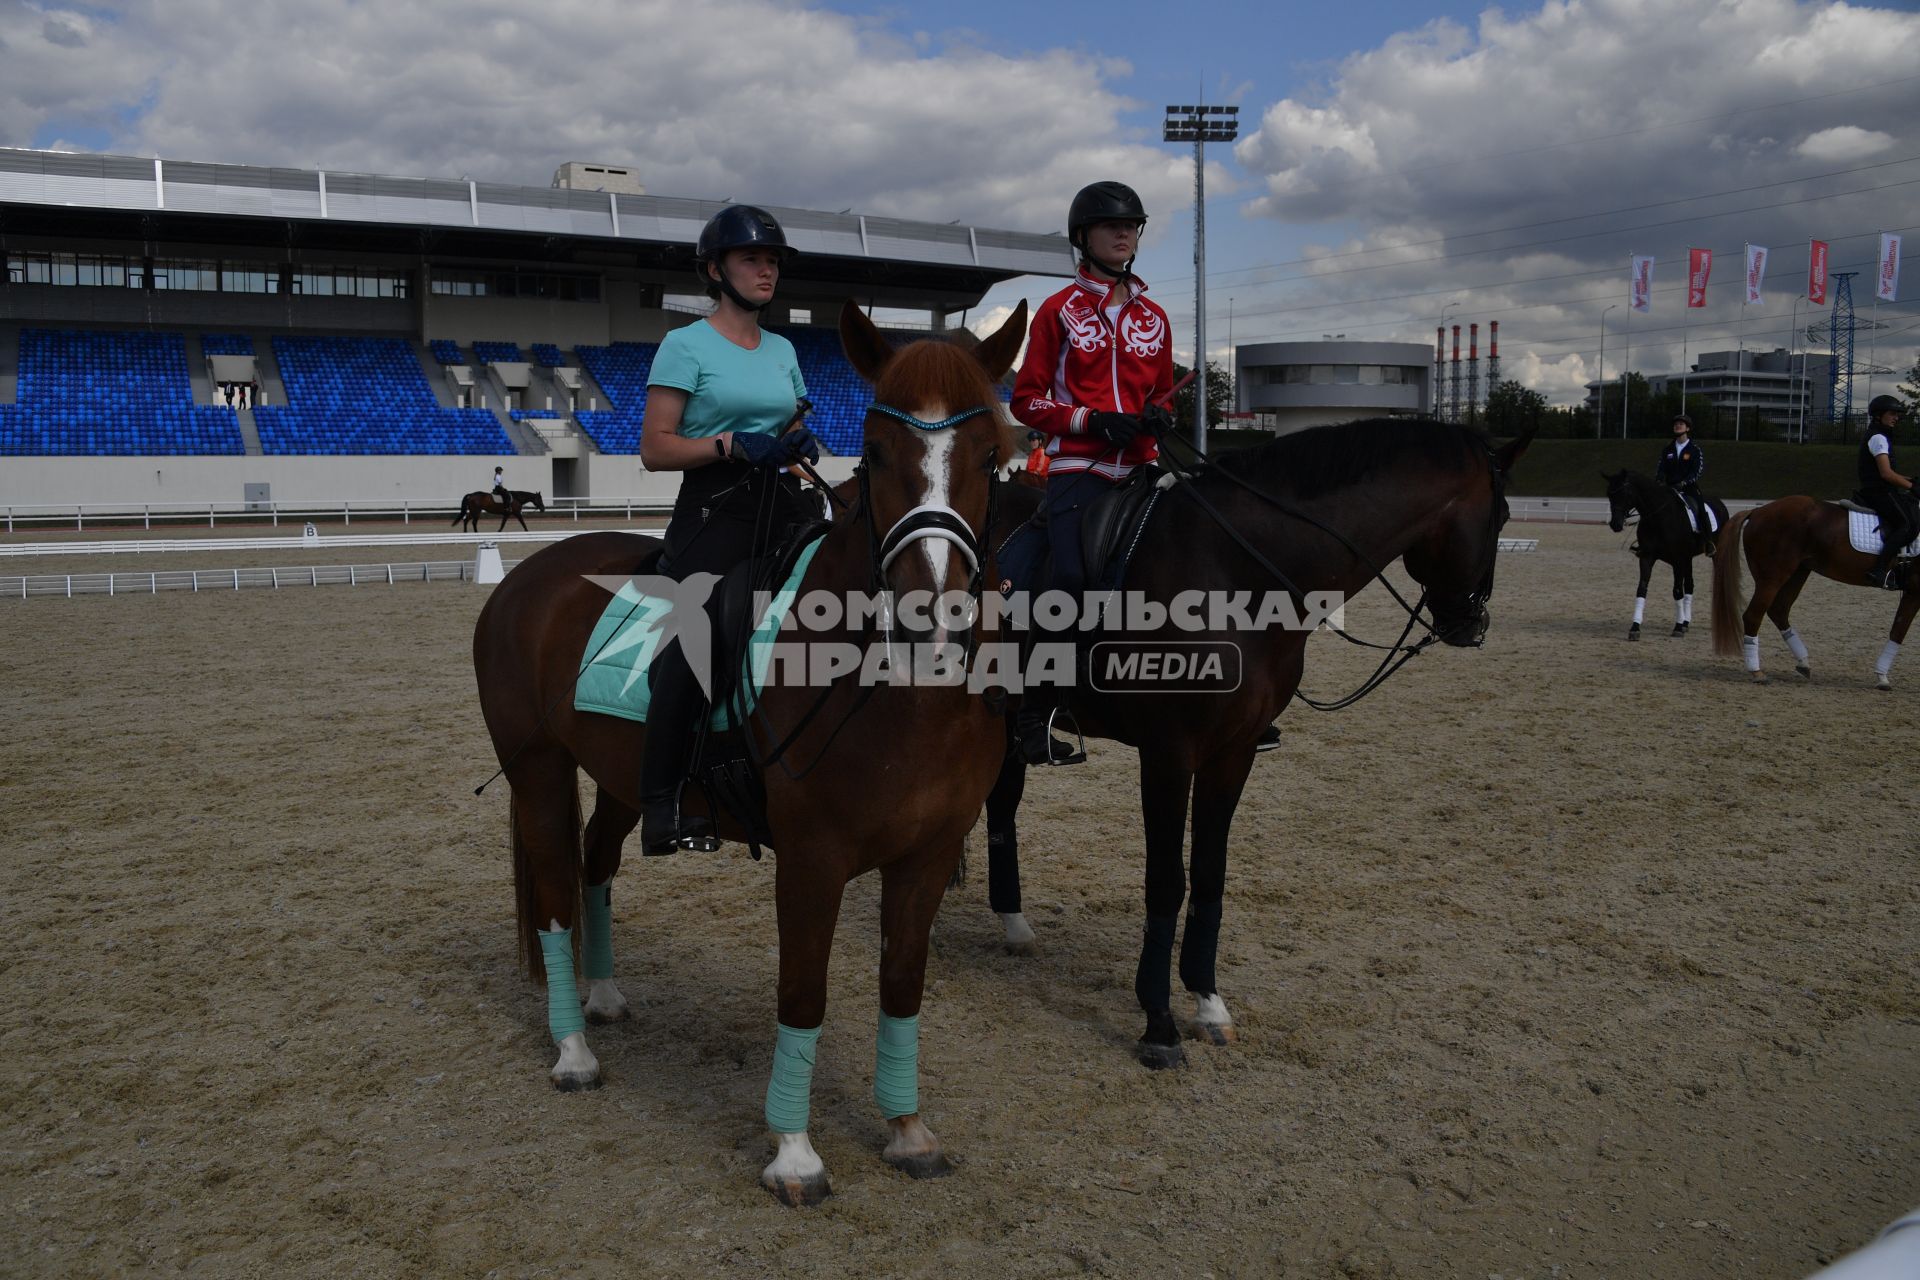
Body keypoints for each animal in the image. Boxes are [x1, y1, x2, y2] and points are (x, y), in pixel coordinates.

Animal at [470, 297, 1029, 1205]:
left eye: (992, 456)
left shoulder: (930, 852)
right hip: (537, 773)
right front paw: (795, 1155)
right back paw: (574, 1052)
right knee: (554, 891)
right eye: (877, 451)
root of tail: (529, 575)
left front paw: (907, 1130)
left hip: (625, 781)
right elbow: (802, 993)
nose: (930, 625)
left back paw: (605, 996)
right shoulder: (813, 857)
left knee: (596, 863)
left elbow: (902, 986)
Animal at [983, 420, 1536, 1074]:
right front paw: (1159, 1024)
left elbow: (1210, 874)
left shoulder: (1234, 753)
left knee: (1001, 804)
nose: (1472, 625)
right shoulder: (1168, 755)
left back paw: (1012, 923)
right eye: (1501, 515)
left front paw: (1207, 1003)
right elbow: (1166, 881)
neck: (1238, 571)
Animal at [1605, 470, 1728, 640]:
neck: (1659, 517)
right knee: (1689, 585)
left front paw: (1677, 627)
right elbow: (1642, 589)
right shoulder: (1647, 558)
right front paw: (1635, 627)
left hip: (1712, 554)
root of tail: (1720, 502)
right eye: (1609, 495)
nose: (1615, 524)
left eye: (1625, 493)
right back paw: (1686, 623)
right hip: (1688, 558)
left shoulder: (1677, 560)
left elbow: (1677, 591)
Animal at [1712, 495, 1920, 687]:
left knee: (1779, 610)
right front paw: (1882, 678)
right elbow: (1899, 631)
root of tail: (1757, 511)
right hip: (1771, 579)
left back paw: (1803, 662)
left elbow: (1898, 630)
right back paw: (1757, 672)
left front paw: (1882, 677)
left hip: (1798, 573)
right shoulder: (1914, 593)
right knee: (1753, 616)